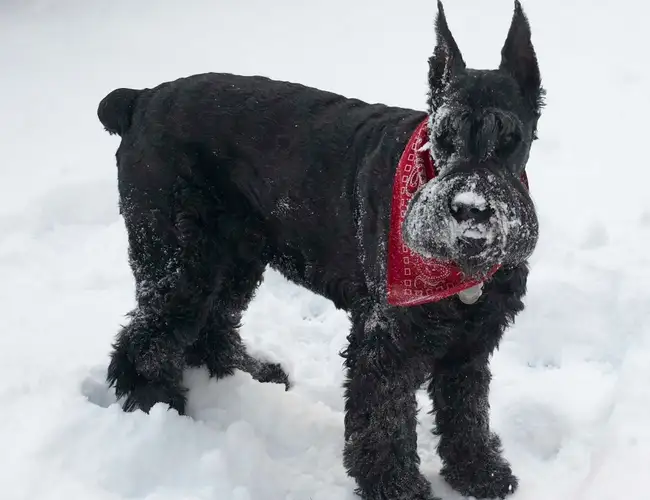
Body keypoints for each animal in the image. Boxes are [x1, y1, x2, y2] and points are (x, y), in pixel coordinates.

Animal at [96, 1, 540, 498]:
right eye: (442, 136)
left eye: (511, 139)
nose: (469, 209)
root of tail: (140, 99)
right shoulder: (385, 340)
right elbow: (384, 420)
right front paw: (395, 486)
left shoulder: (472, 338)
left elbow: (467, 408)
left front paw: (478, 471)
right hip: (178, 258)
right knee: (146, 336)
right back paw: (159, 406)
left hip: (232, 256)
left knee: (213, 322)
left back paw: (249, 372)